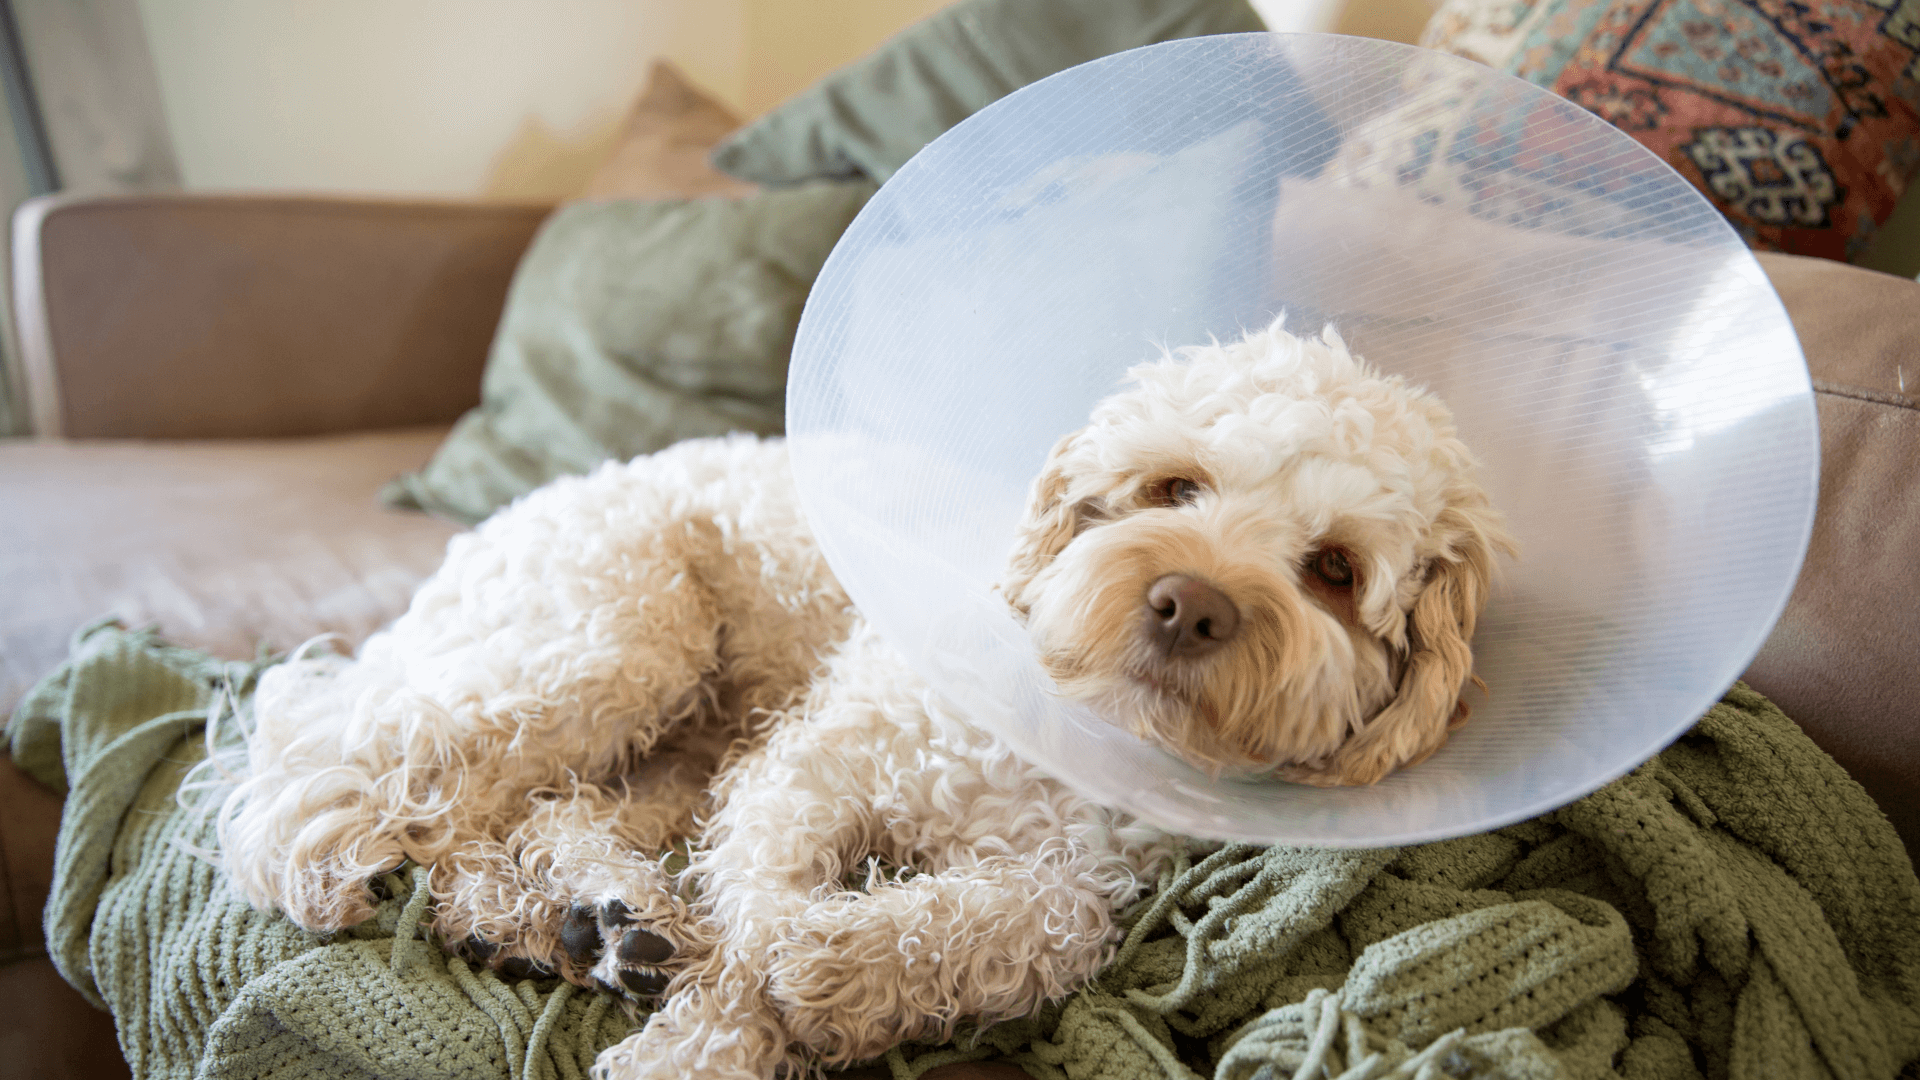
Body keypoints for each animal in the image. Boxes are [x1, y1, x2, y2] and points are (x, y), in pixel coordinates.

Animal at [214, 319, 1512, 1076]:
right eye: (1173, 487)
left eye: (1333, 570)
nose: (1189, 604)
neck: (1060, 733)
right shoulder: (812, 767)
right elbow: (761, 913)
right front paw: (733, 1023)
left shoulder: (1080, 876)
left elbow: (1024, 928)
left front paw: (833, 976)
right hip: (611, 647)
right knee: (363, 773)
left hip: (677, 743)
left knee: (528, 820)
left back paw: (587, 919)